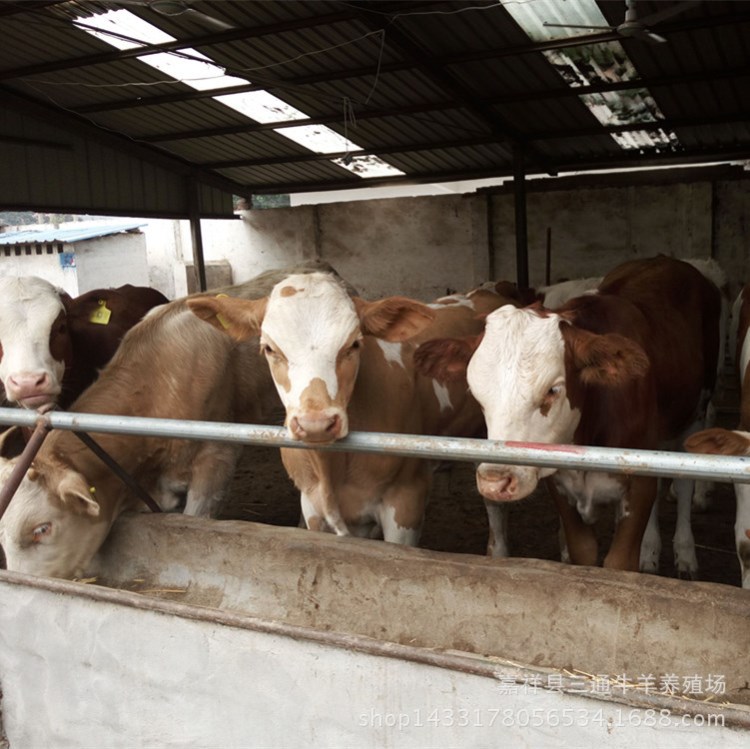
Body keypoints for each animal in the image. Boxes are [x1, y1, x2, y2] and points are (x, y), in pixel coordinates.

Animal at [188, 272, 516, 548]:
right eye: (269, 348)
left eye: (354, 344)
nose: (316, 424)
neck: (332, 468)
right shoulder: (312, 505)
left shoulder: (405, 502)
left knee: (494, 503)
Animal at [414, 258, 724, 572]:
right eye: (475, 390)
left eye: (552, 390)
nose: (495, 481)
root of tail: (664, 259)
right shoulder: (561, 487)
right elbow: (583, 553)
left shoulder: (638, 487)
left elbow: (620, 562)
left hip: (696, 410)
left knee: (683, 484)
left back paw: (685, 551)